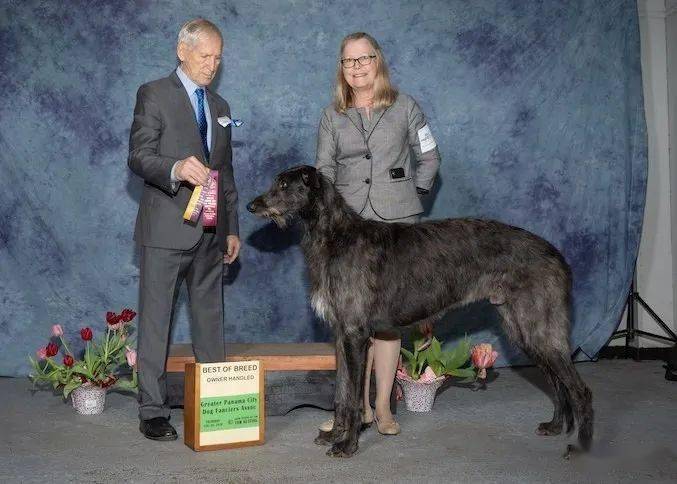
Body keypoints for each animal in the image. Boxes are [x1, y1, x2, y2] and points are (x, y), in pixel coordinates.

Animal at [247, 165, 592, 458]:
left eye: (283, 184)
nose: (252, 205)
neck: (336, 236)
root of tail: (557, 255)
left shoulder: (356, 334)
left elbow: (354, 396)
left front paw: (347, 445)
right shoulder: (341, 335)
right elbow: (342, 392)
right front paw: (336, 435)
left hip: (539, 326)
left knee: (580, 389)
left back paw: (581, 445)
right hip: (522, 330)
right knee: (558, 384)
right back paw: (555, 426)